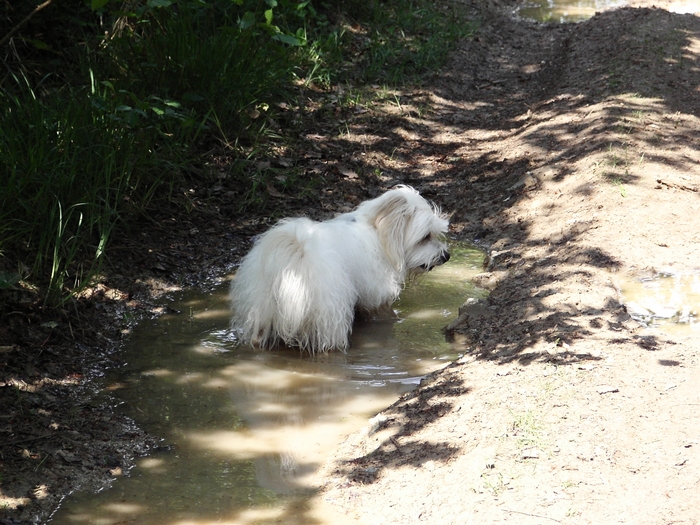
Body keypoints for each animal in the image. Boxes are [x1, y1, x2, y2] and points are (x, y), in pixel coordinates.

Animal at [228, 184, 448, 352]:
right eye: (425, 237)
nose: (446, 256)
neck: (378, 233)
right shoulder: (377, 295)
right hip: (329, 314)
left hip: (260, 311)